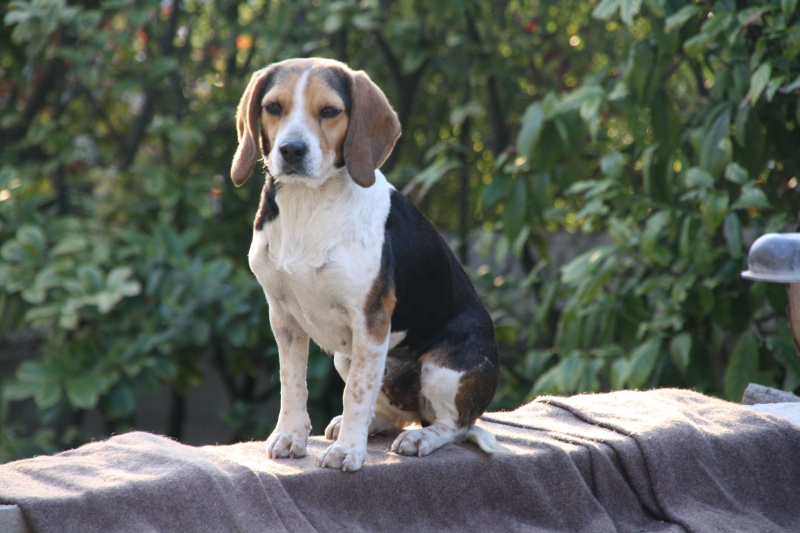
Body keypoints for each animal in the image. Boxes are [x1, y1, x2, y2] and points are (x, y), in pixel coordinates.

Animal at [228, 58, 496, 472]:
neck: (309, 205)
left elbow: (355, 393)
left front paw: (347, 453)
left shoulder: (370, 322)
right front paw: (290, 436)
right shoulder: (283, 318)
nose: (291, 150)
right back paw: (370, 425)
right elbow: (292, 384)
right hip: (346, 356)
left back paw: (419, 437)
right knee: (394, 414)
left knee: (454, 425)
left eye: (329, 111)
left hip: (442, 369)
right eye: (273, 107)